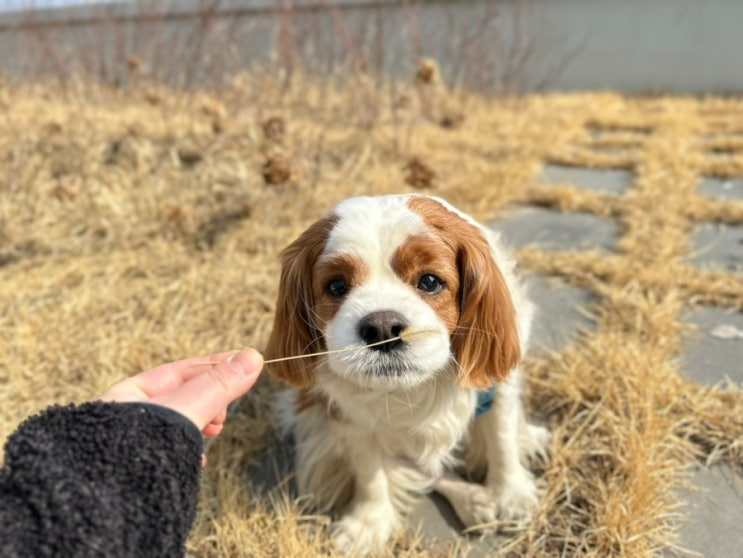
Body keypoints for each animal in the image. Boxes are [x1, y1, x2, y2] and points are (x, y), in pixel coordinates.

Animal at [264, 195, 548, 552]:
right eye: (336, 286)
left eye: (429, 281)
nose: (382, 326)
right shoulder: (347, 417)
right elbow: (370, 472)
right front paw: (368, 524)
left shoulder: (496, 390)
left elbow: (502, 438)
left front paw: (511, 493)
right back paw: (472, 500)